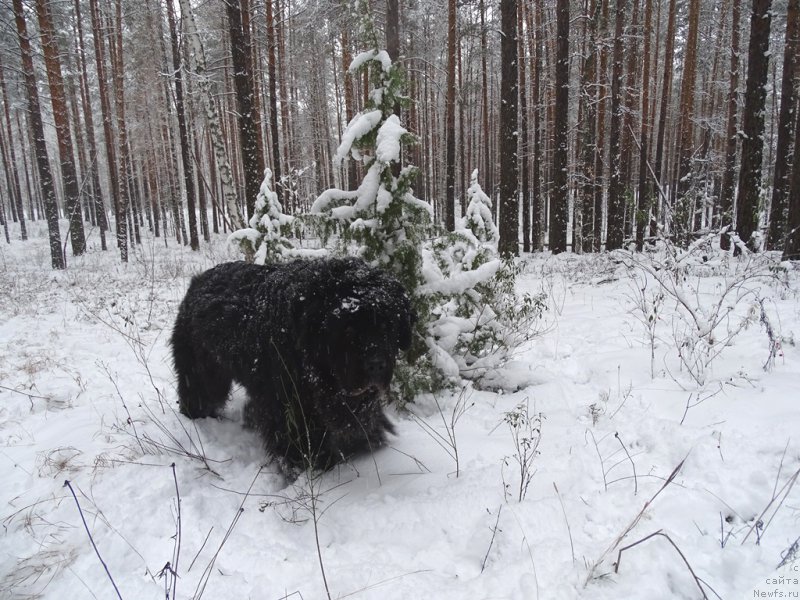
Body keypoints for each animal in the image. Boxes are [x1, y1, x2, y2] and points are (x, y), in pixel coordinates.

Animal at [173, 258, 416, 474]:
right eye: (347, 328)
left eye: (388, 324)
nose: (376, 365)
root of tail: (198, 281)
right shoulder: (288, 401)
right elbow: (296, 433)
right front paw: (313, 463)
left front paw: (366, 443)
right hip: (202, 368)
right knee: (199, 392)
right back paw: (197, 417)